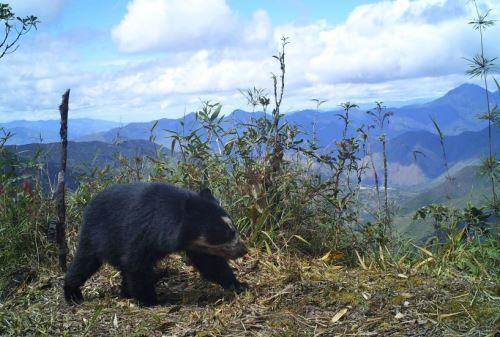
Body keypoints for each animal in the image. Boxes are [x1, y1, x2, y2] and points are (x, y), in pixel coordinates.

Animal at [64, 182, 248, 306]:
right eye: (225, 233)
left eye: (233, 228)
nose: (243, 250)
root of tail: (89, 204)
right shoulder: (142, 232)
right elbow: (136, 263)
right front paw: (151, 300)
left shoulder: (197, 245)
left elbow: (211, 263)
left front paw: (239, 285)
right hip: (96, 234)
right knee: (84, 263)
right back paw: (72, 295)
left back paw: (125, 292)